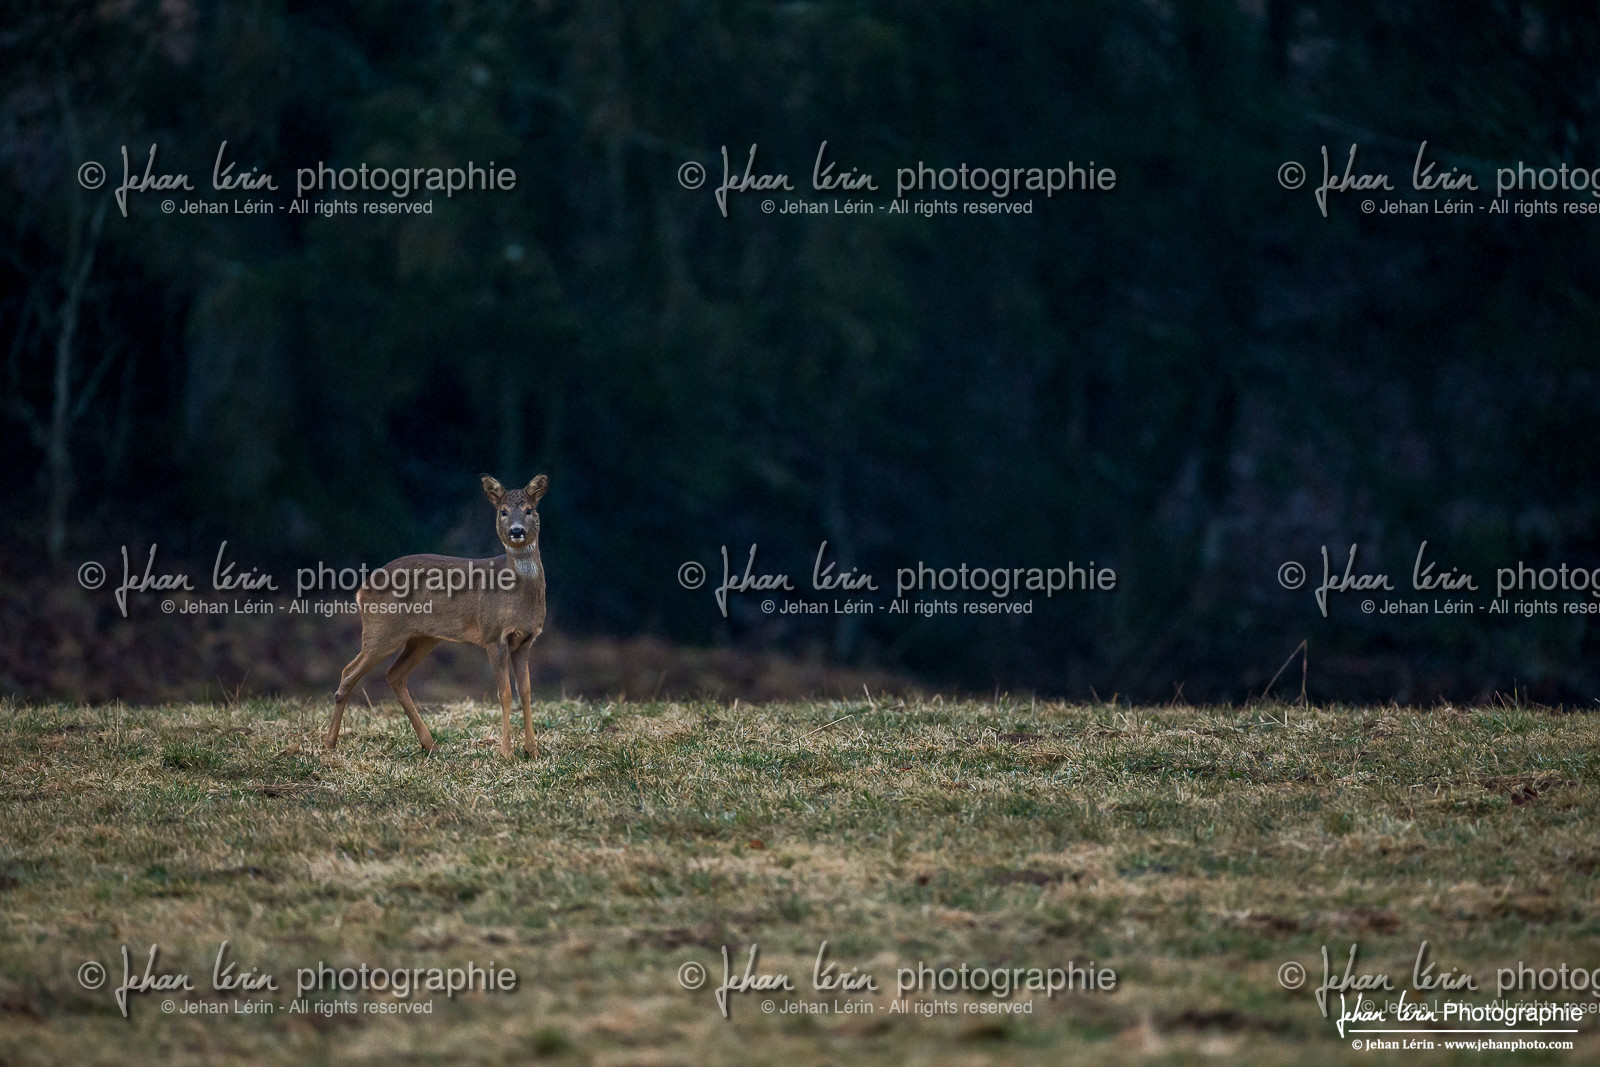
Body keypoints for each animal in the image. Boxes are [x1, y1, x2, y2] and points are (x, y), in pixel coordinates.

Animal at [325, 474, 549, 758]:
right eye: (503, 511)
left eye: (529, 510)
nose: (516, 531)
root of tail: (361, 591)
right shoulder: (493, 636)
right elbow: (505, 693)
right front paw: (506, 752)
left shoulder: (526, 640)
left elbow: (527, 692)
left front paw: (533, 751)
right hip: (382, 631)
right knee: (349, 671)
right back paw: (329, 743)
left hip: (423, 638)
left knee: (394, 674)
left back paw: (429, 744)